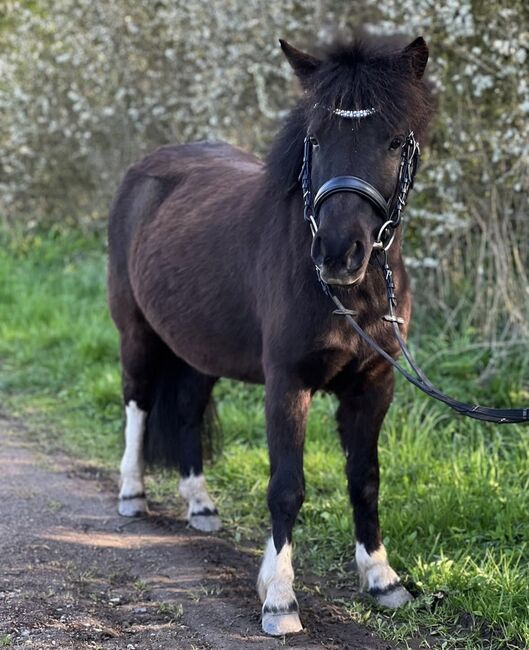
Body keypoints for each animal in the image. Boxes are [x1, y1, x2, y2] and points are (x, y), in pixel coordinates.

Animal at [106, 33, 434, 636]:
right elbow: (286, 487)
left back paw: (201, 505)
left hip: (198, 350)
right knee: (137, 402)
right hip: (135, 334)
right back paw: (132, 493)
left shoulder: (374, 385)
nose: (338, 253)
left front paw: (382, 580)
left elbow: (366, 479)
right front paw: (279, 599)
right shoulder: (288, 383)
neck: (349, 296)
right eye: (316, 137)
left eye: (396, 139)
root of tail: (147, 168)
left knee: (185, 413)